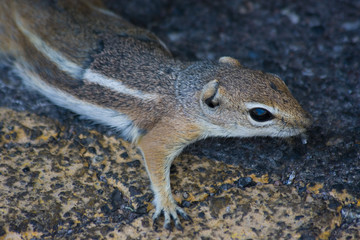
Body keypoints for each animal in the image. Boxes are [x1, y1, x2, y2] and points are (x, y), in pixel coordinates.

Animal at [0, 0, 312, 230]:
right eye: (260, 114)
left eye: (278, 80)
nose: (308, 122)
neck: (181, 87)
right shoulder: (166, 133)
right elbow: (153, 155)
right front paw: (168, 204)